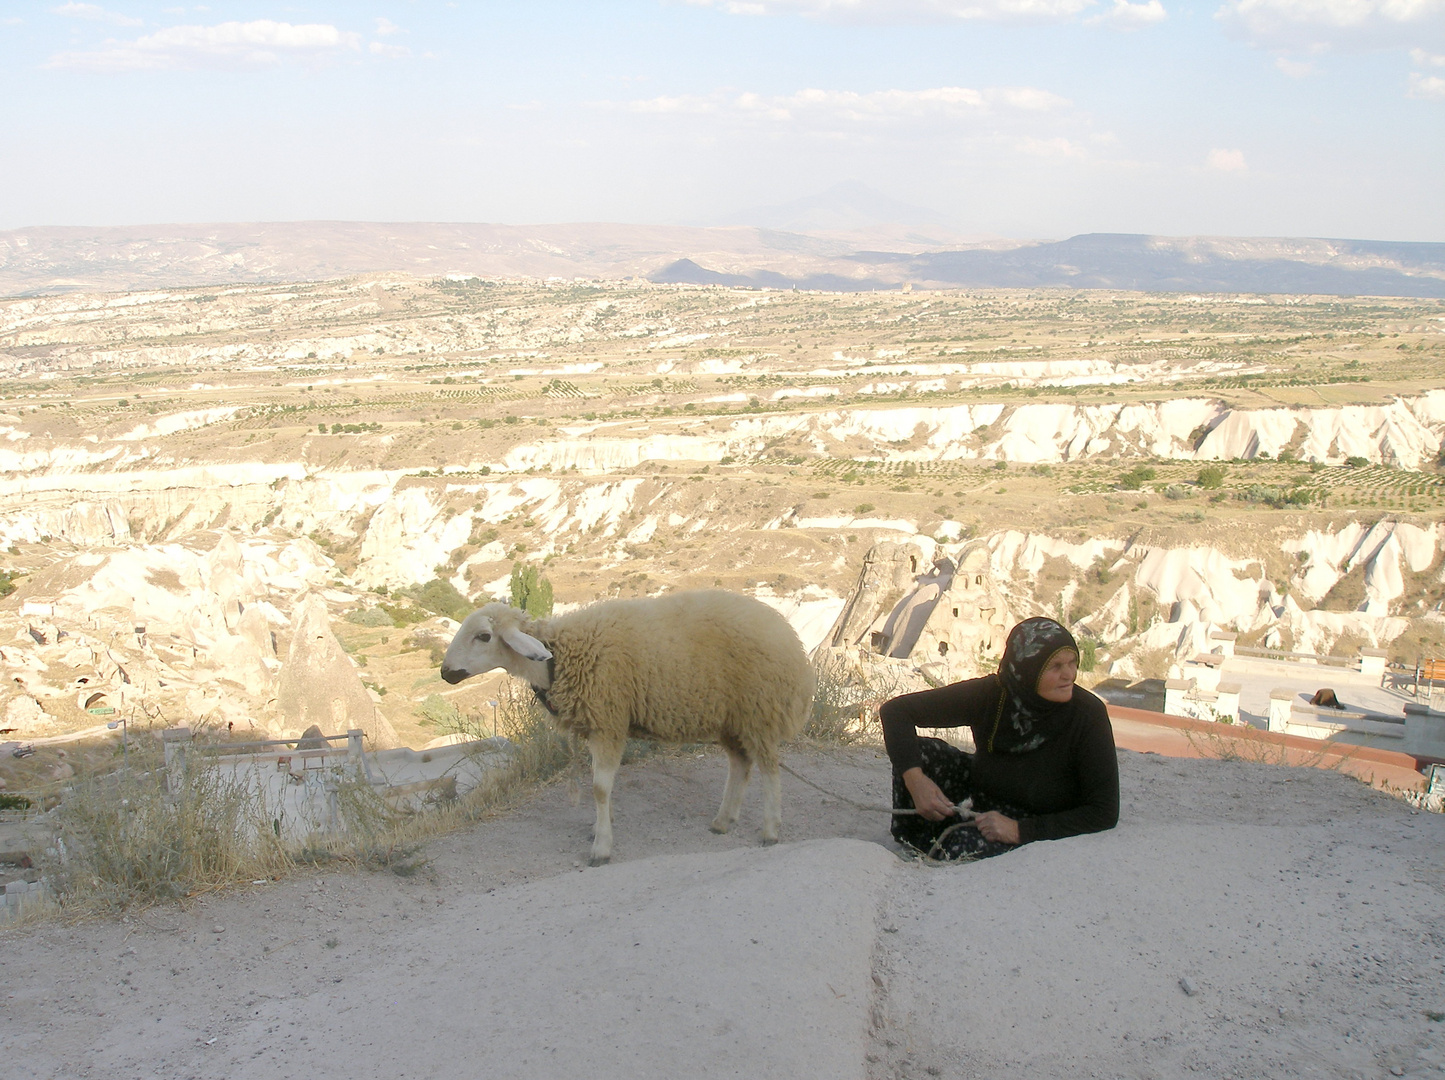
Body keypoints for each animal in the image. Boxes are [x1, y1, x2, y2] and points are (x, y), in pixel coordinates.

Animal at [433, 592, 820, 861]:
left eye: (484, 636)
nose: (445, 672)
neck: (558, 658)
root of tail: (793, 641)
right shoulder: (596, 724)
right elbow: (599, 788)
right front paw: (597, 828)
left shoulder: (608, 722)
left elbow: (599, 789)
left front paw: (601, 847)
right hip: (731, 718)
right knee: (740, 764)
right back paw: (723, 821)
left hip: (760, 710)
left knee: (770, 770)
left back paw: (770, 829)